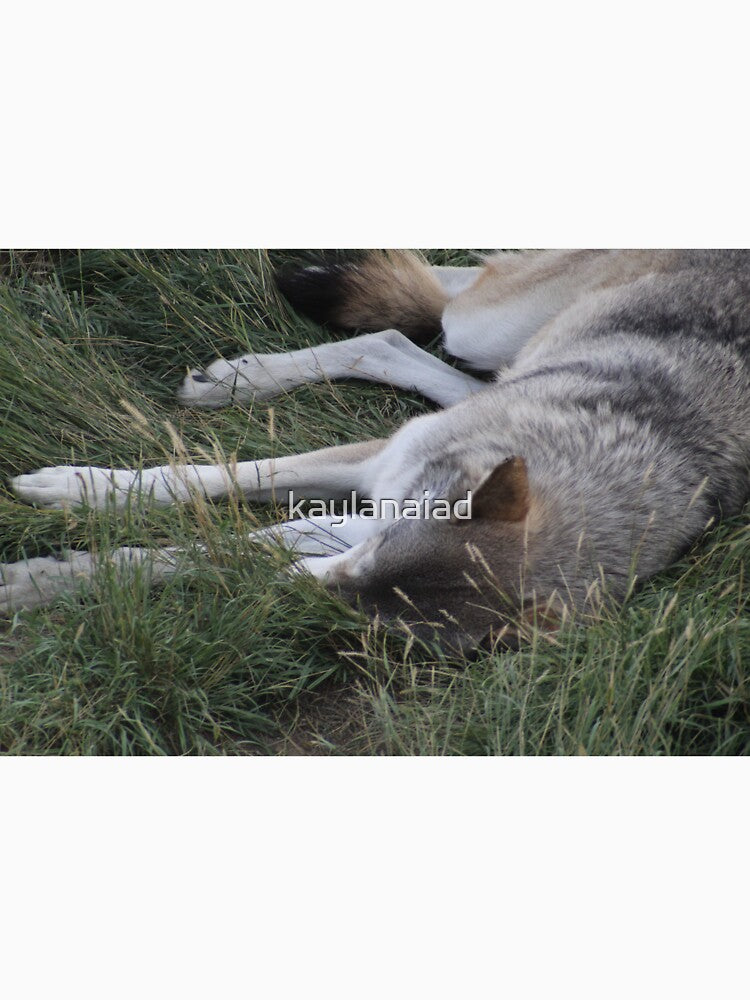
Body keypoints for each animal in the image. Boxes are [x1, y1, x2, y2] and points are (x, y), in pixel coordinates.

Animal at [3, 250, 750, 649]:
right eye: (366, 564)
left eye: (363, 610)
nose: (307, 590)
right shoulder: (376, 472)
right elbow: (210, 478)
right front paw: (73, 491)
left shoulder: (363, 513)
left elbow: (217, 553)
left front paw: (49, 578)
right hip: (483, 329)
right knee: (442, 297)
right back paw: (262, 347)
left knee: (403, 341)